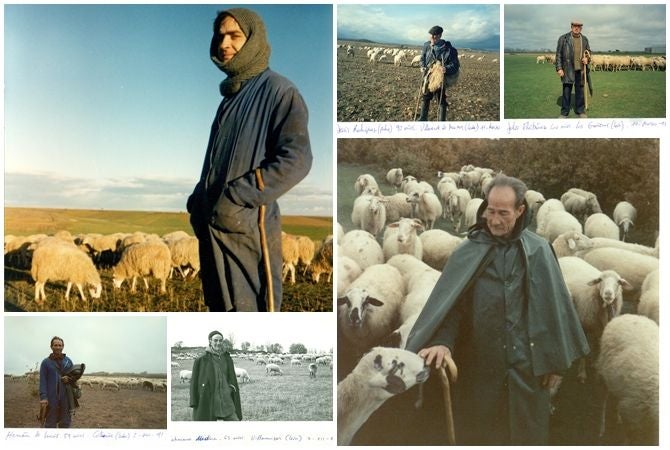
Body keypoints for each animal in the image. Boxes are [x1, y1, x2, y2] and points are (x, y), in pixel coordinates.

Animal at [596, 314, 660, 444]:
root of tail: (626, 316)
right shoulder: (632, 413)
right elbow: (632, 437)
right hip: (603, 375)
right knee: (604, 399)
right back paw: (602, 427)